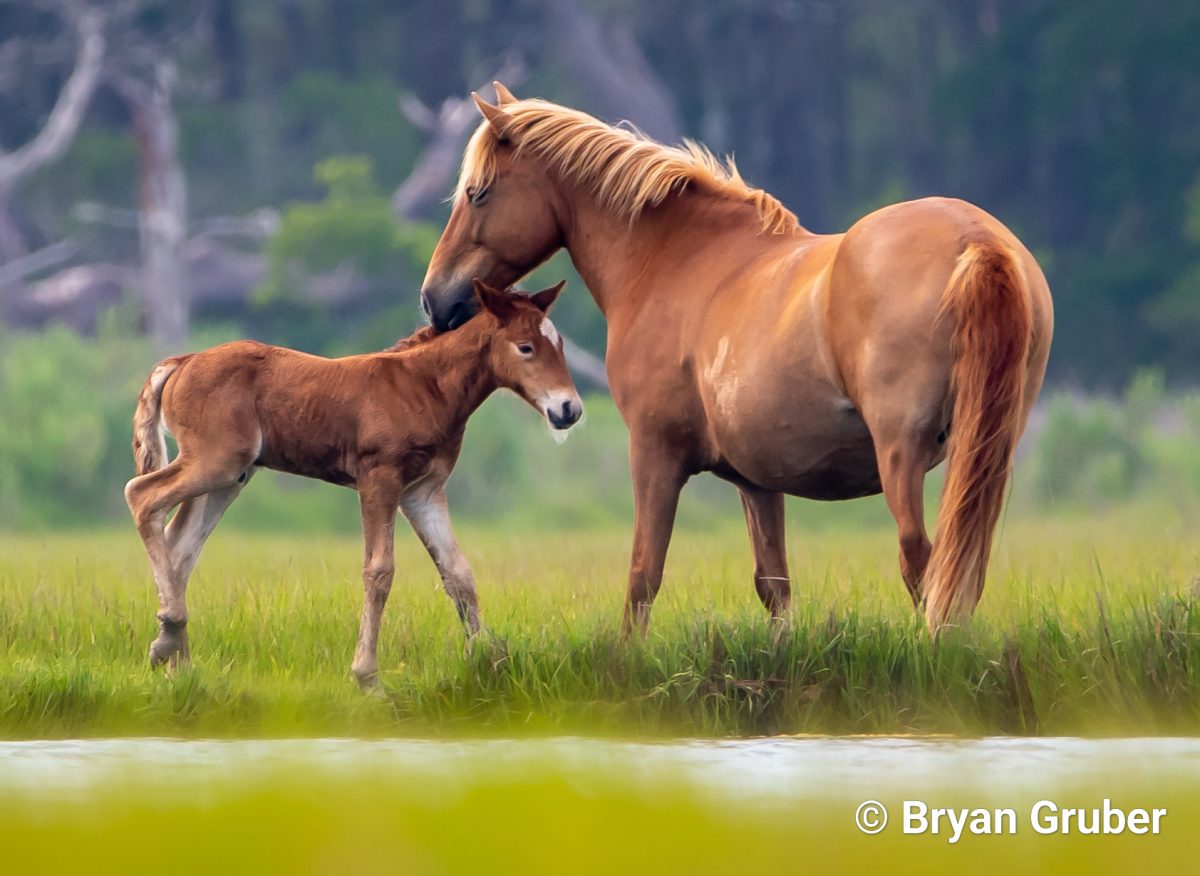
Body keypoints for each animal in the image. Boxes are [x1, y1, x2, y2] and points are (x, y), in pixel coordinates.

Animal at [124, 279, 583, 681]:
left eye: (560, 345)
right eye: (525, 347)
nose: (569, 409)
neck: (425, 387)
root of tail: (183, 361)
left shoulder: (423, 491)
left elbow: (458, 573)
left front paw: (488, 661)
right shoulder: (378, 479)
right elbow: (379, 572)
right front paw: (367, 677)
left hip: (230, 476)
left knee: (181, 546)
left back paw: (175, 660)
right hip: (214, 461)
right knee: (142, 496)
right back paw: (170, 632)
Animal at [420, 85, 1051, 633]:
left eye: (478, 193)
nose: (434, 299)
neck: (678, 259)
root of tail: (975, 239)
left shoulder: (654, 453)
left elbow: (643, 575)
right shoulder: (758, 480)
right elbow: (774, 586)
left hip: (903, 457)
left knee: (924, 565)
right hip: (982, 457)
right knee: (960, 570)